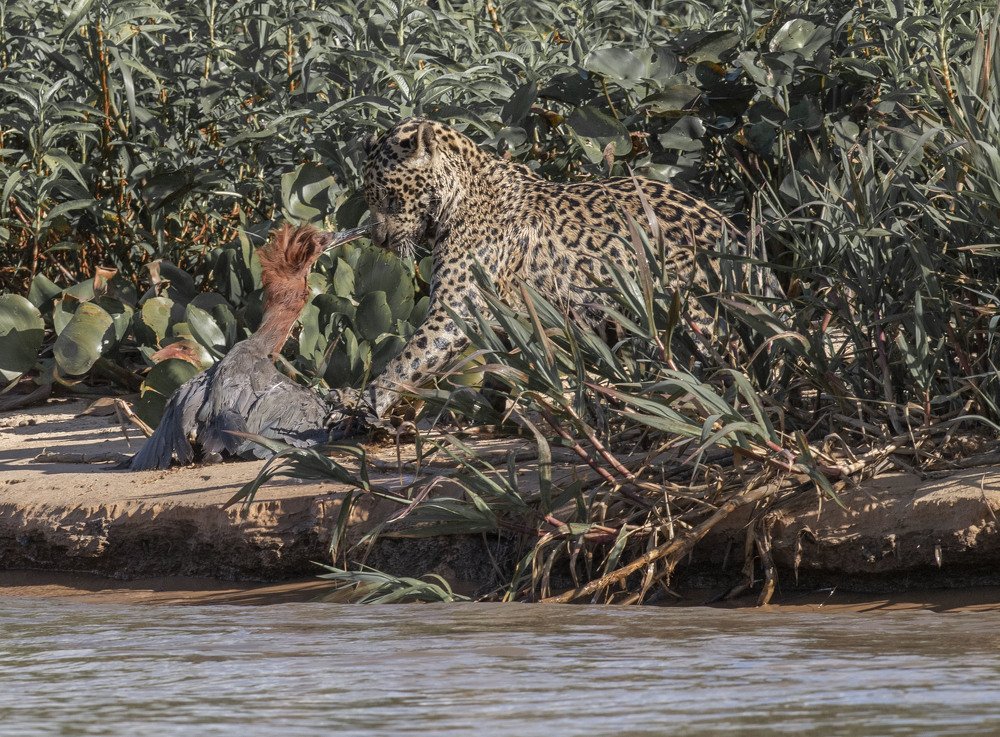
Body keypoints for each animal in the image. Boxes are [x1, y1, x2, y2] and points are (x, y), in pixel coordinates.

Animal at [330, 117, 780, 428]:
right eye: (369, 198)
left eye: (391, 197)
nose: (381, 240)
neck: (461, 194)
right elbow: (505, 365)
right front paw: (507, 411)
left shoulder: (454, 307)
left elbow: (409, 358)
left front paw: (364, 404)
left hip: (691, 309)